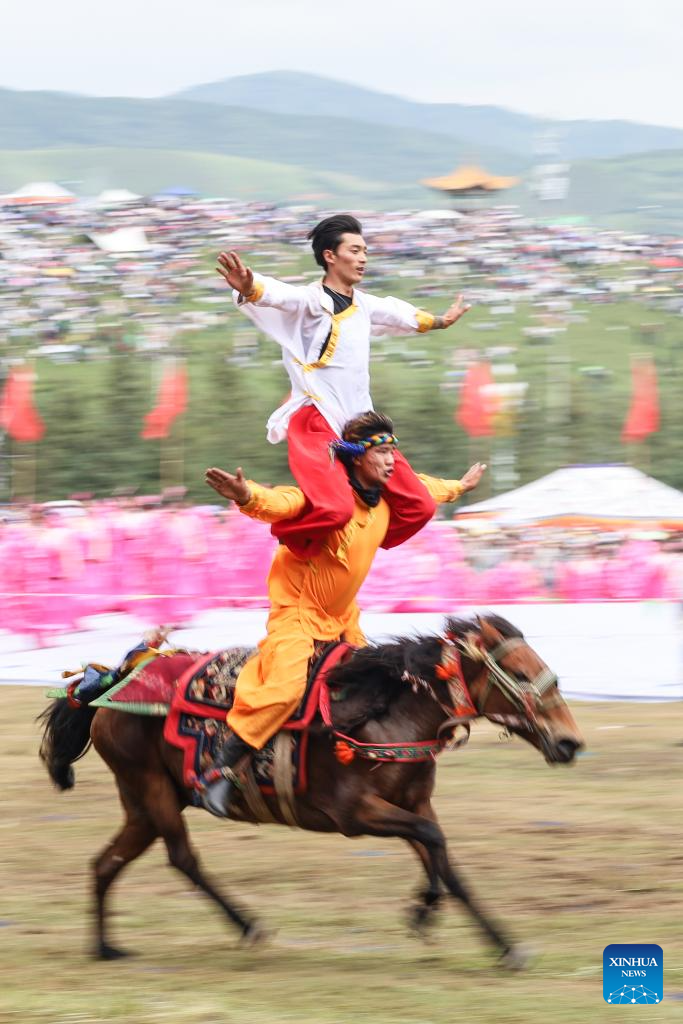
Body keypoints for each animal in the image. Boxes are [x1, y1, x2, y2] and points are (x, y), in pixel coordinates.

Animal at [38, 614, 581, 966]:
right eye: (519, 673)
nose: (570, 742)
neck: (384, 711)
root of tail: (111, 682)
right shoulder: (354, 813)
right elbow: (434, 843)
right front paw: (429, 914)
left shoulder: (411, 803)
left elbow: (444, 860)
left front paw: (498, 942)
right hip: (151, 789)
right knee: (182, 859)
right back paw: (247, 926)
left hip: (144, 802)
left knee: (106, 863)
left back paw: (105, 947)